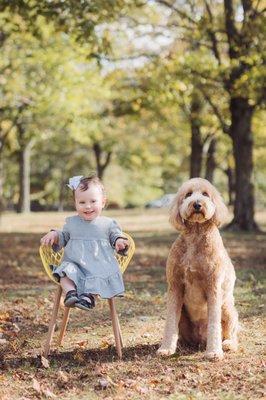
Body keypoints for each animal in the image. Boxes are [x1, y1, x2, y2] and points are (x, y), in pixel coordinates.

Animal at [158, 178, 239, 360]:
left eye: (205, 194)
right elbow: (170, 322)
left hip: (227, 307)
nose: (196, 204)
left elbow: (214, 323)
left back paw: (227, 344)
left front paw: (214, 352)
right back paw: (180, 344)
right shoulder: (175, 286)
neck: (195, 233)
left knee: (231, 331)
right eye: (188, 194)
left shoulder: (213, 286)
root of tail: (200, 341)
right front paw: (166, 348)